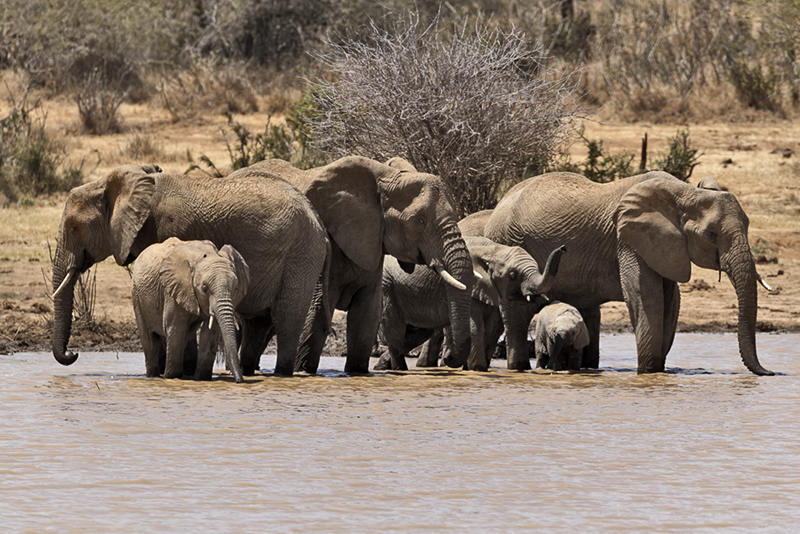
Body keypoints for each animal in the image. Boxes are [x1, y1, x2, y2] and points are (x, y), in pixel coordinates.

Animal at [131, 238, 250, 382]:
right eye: (204, 288)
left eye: (236, 288)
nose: (239, 380)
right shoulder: (172, 290)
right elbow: (176, 329)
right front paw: (172, 378)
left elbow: (210, 332)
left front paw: (202, 379)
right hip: (137, 295)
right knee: (150, 340)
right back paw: (153, 376)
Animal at [245, 156, 476, 376]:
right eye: (420, 221)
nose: (448, 358)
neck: (384, 178)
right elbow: (317, 311)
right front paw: (302, 370)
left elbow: (367, 315)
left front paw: (356, 372)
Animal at [482, 172, 776, 376]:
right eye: (712, 234)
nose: (770, 372)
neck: (684, 192)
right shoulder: (628, 239)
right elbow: (646, 298)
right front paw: (648, 373)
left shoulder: (665, 246)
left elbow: (671, 303)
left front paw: (658, 371)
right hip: (510, 242)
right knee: (517, 315)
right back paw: (518, 368)